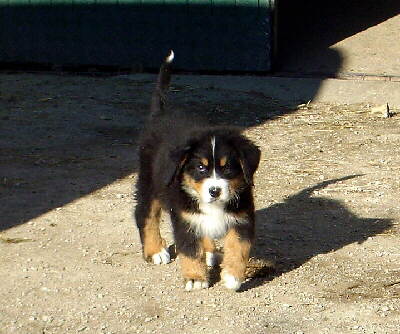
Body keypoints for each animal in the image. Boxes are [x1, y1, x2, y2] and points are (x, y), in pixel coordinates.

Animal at [133, 51, 260, 290]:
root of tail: (161, 113)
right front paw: (195, 278)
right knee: (145, 214)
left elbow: (239, 248)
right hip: (149, 182)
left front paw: (232, 276)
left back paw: (210, 251)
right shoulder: (184, 218)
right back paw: (155, 251)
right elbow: (190, 250)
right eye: (200, 167)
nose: (214, 191)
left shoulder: (242, 217)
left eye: (227, 168)